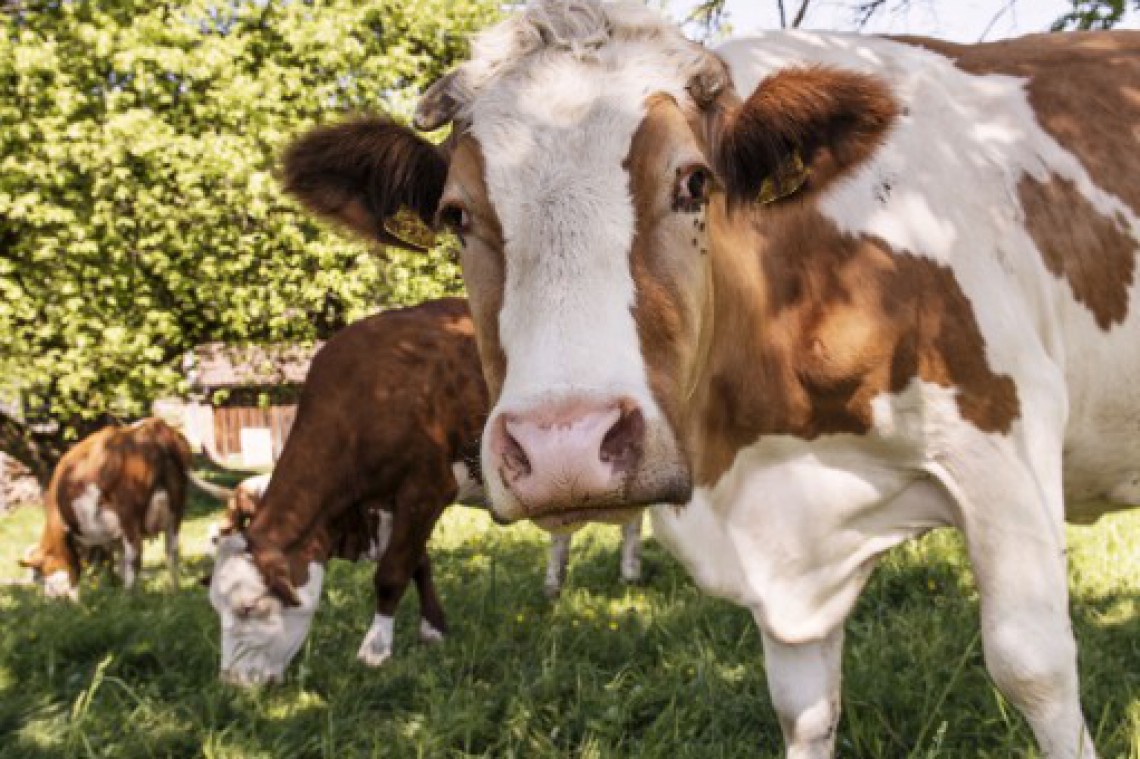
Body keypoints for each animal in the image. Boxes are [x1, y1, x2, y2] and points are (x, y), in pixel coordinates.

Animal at [278, 2, 1140, 752]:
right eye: (457, 214)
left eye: (693, 183)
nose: (565, 446)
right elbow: (803, 705)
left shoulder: (1003, 447)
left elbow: (1033, 668)